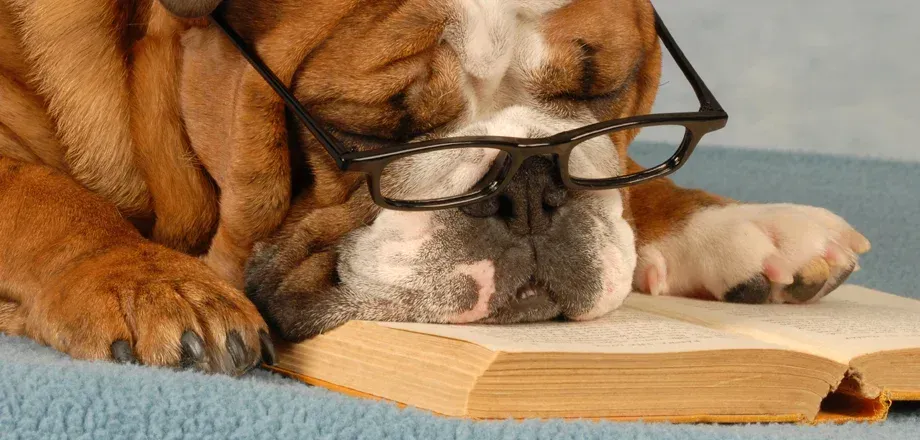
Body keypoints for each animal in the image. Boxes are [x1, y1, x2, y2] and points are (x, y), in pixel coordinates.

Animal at [0, 0, 868, 374]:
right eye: (366, 133)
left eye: (603, 89)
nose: (528, 183)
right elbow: (42, 195)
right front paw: (147, 281)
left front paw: (731, 226)